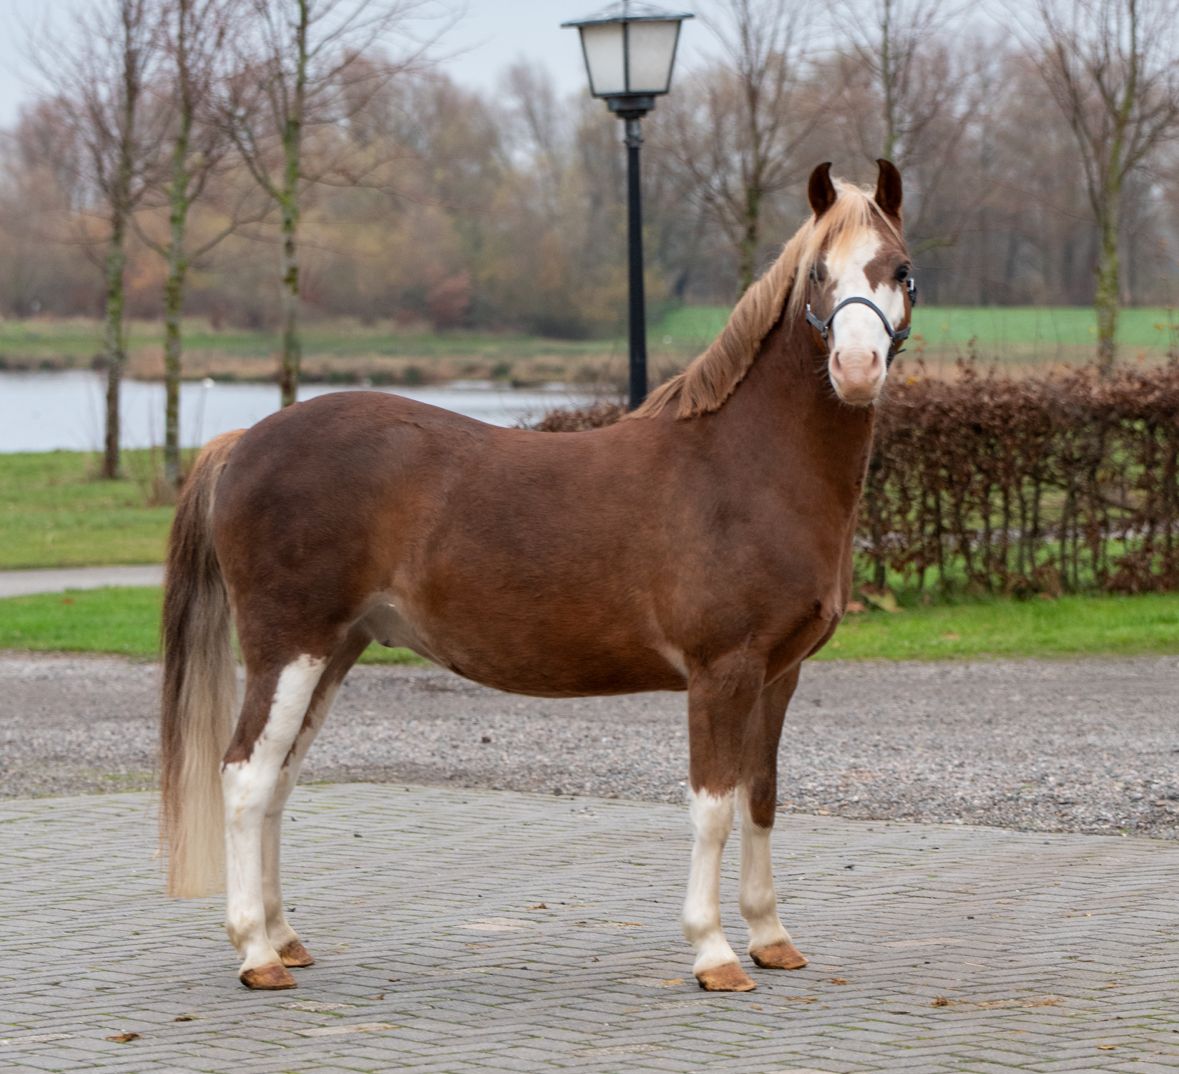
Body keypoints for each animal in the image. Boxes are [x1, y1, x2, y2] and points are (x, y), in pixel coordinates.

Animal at [160, 159, 914, 993]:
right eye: (817, 272)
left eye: (899, 269)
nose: (855, 369)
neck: (743, 466)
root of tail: (243, 439)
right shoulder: (722, 671)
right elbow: (713, 806)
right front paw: (714, 954)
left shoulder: (777, 674)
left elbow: (761, 798)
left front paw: (771, 938)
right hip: (289, 647)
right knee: (246, 778)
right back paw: (257, 955)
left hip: (333, 651)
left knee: (279, 783)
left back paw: (284, 937)